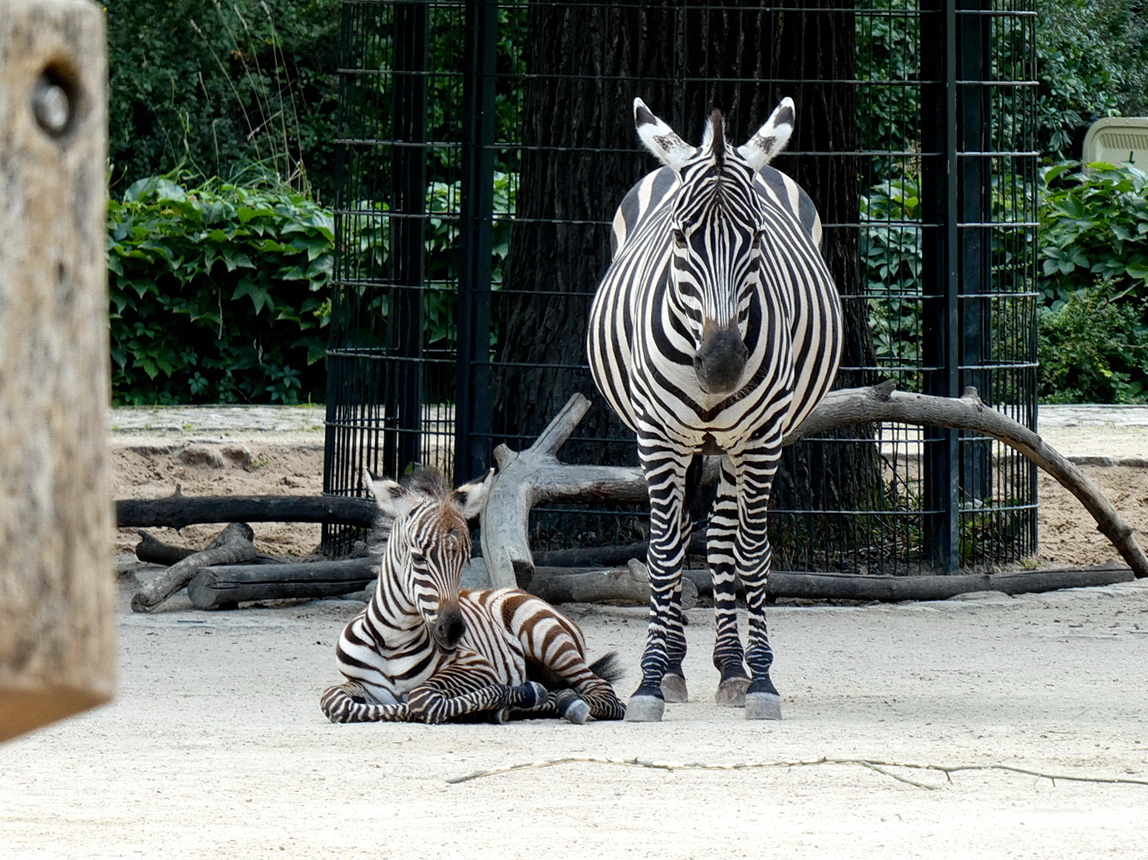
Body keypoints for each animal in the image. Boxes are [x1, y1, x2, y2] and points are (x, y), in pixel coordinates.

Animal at [319, 466, 629, 721]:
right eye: (418, 558)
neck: (390, 641)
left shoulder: (477, 666)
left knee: (604, 696)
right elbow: (333, 701)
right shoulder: (358, 684)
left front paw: (509, 698)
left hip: (547, 639)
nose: (453, 630)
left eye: (465, 559)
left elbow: (423, 700)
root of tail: (517, 591)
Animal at [587, 97, 840, 721]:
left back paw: (731, 667)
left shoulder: (763, 438)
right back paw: (673, 666)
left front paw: (762, 681)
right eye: (680, 237)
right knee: (679, 537)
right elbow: (661, 555)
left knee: (723, 540)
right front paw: (649, 683)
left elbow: (750, 555)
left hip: (737, 446)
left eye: (757, 237)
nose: (722, 365)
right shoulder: (656, 438)